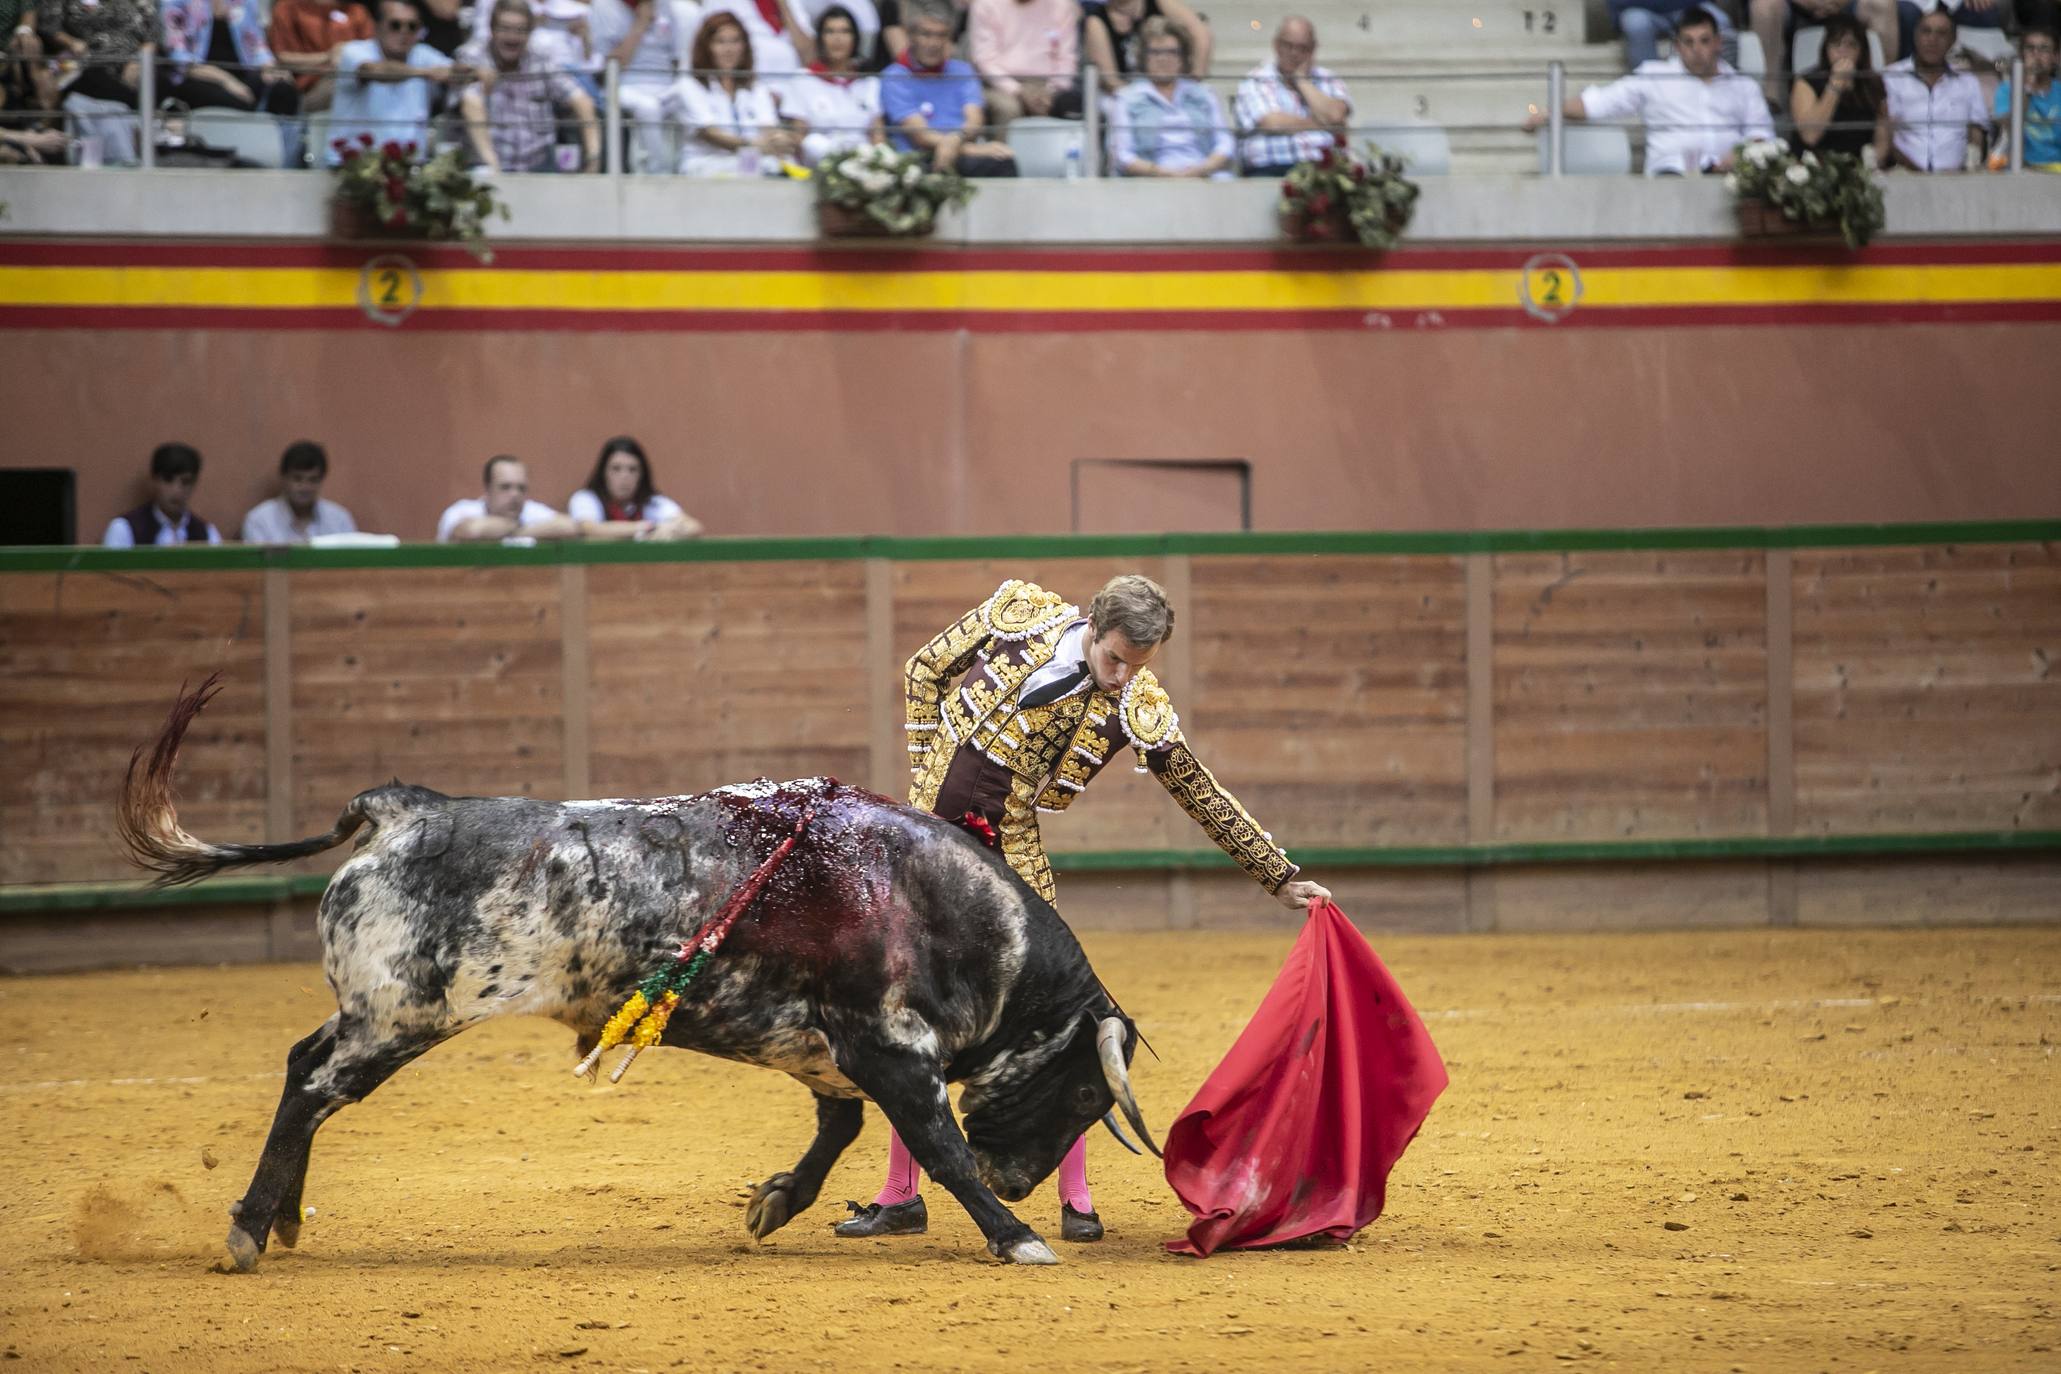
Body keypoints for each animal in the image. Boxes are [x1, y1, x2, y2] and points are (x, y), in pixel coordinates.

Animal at [120, 683, 1162, 1277]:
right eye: (1084, 1092)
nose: (1019, 1180)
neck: (940, 907)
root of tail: (407, 809)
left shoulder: (827, 1050)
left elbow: (840, 1129)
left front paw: (775, 1202)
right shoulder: (888, 1049)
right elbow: (935, 1145)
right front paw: (1013, 1236)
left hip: (374, 1016)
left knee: (304, 1068)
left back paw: (281, 1220)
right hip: (398, 1018)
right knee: (310, 1086)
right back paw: (250, 1232)